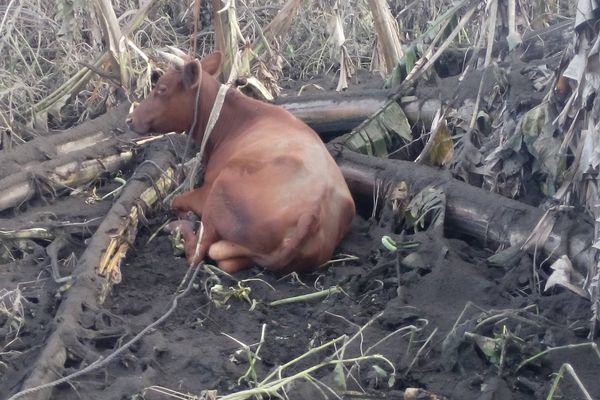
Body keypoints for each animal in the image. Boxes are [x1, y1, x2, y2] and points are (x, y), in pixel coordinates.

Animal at [125, 51, 352, 274]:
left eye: (161, 89)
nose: (129, 119)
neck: (236, 120)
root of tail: (311, 213)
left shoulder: (207, 188)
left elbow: (174, 200)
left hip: (219, 192)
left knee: (198, 252)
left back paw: (178, 227)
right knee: (223, 258)